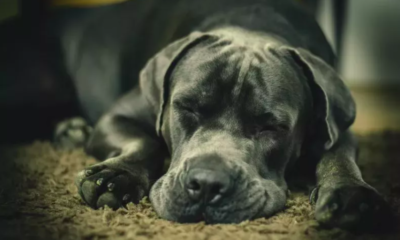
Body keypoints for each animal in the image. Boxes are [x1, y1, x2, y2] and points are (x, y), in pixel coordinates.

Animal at [46, 0, 390, 231]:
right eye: (187, 107)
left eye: (271, 127)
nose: (207, 183)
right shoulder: (117, 115)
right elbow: (147, 142)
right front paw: (116, 175)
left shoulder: (338, 125)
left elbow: (339, 154)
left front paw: (349, 192)